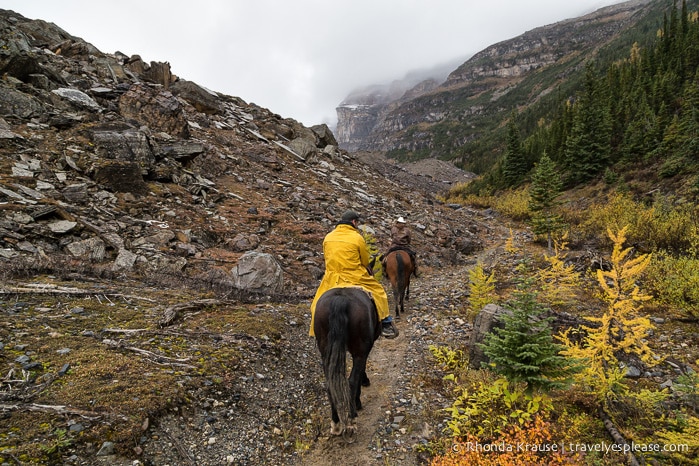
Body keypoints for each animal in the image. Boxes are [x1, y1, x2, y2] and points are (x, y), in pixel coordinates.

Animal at [314, 286, 380, 438]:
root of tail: (340, 299)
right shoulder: (363, 351)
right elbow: (360, 372)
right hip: (360, 350)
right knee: (351, 382)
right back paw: (351, 420)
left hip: (325, 352)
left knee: (330, 385)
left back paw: (336, 424)